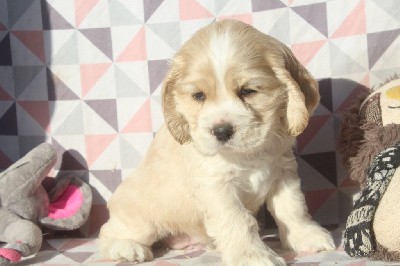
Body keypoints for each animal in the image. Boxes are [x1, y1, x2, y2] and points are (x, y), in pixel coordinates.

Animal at [99, 19, 334, 264]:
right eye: (199, 96)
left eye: (248, 91)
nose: (221, 131)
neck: (246, 155)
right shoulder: (217, 185)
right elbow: (238, 220)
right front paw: (252, 255)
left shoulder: (283, 172)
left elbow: (293, 207)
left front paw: (306, 236)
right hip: (141, 220)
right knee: (108, 233)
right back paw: (126, 248)